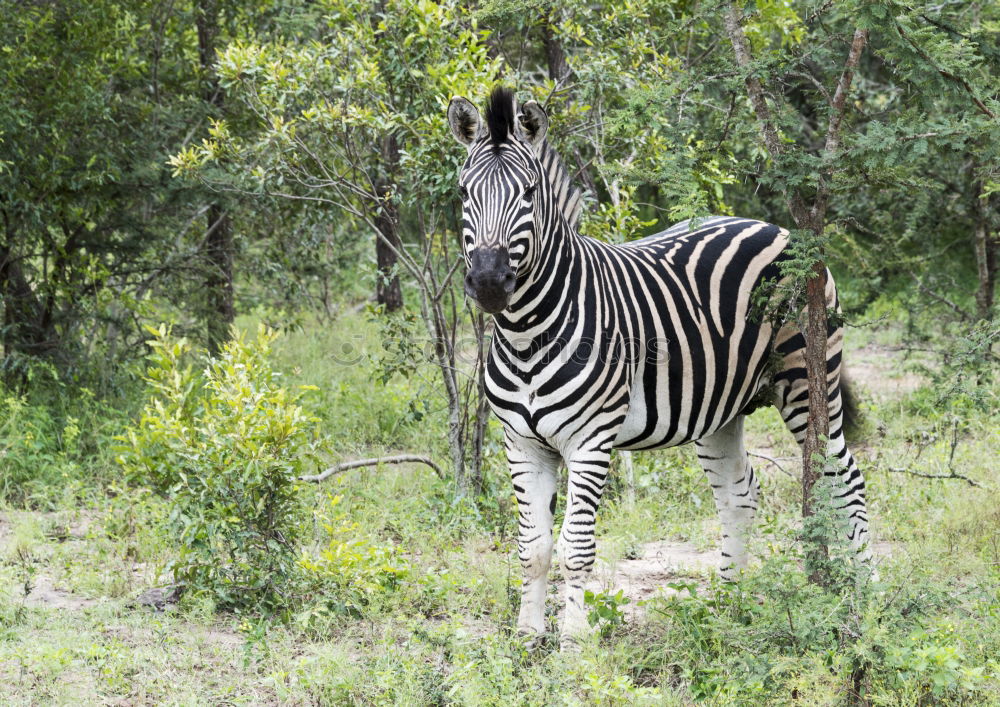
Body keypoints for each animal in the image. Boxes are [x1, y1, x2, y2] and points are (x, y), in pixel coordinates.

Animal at [446, 87, 868, 648]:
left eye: (529, 194)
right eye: (464, 193)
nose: (490, 283)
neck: (525, 334)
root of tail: (776, 227)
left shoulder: (590, 441)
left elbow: (575, 547)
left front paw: (573, 646)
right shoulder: (521, 442)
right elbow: (532, 548)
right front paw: (527, 640)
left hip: (806, 381)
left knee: (846, 480)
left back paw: (869, 598)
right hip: (719, 408)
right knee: (740, 494)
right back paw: (727, 610)